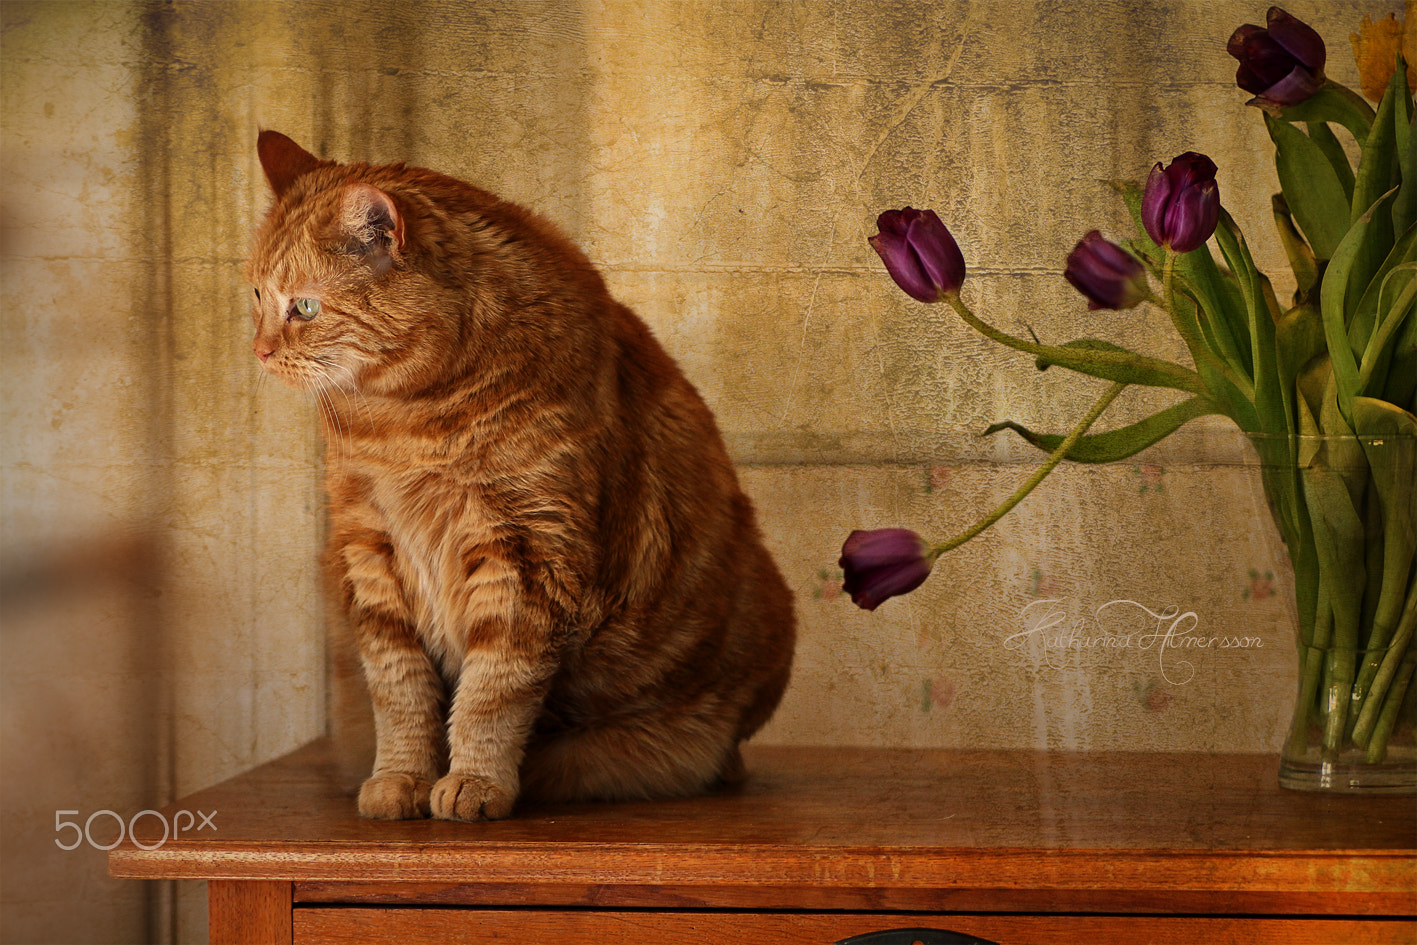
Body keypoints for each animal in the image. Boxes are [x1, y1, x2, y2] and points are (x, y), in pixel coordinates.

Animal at [246, 131, 799, 821]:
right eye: (257, 297)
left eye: (305, 306)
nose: (260, 352)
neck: (407, 427)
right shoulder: (370, 553)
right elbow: (399, 690)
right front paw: (400, 779)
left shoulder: (529, 554)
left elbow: (493, 692)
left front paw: (474, 782)